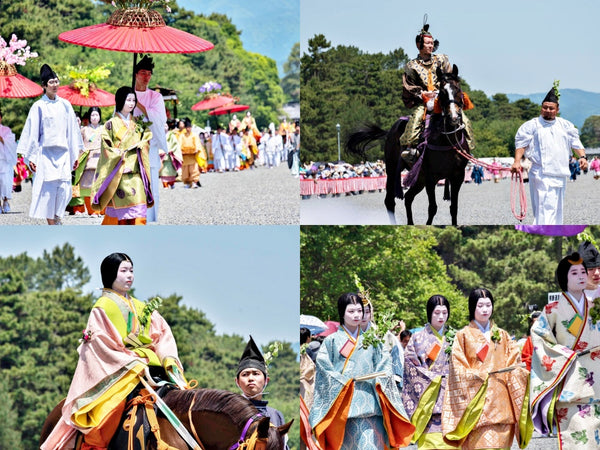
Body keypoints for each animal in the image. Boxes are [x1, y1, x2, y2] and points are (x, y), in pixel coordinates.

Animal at [350, 63, 472, 225]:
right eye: (442, 92)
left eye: (457, 89)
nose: (453, 117)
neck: (447, 140)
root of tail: (390, 131)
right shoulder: (430, 177)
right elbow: (432, 207)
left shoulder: (457, 176)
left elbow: (454, 208)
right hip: (392, 169)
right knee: (390, 201)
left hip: (418, 177)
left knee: (408, 198)